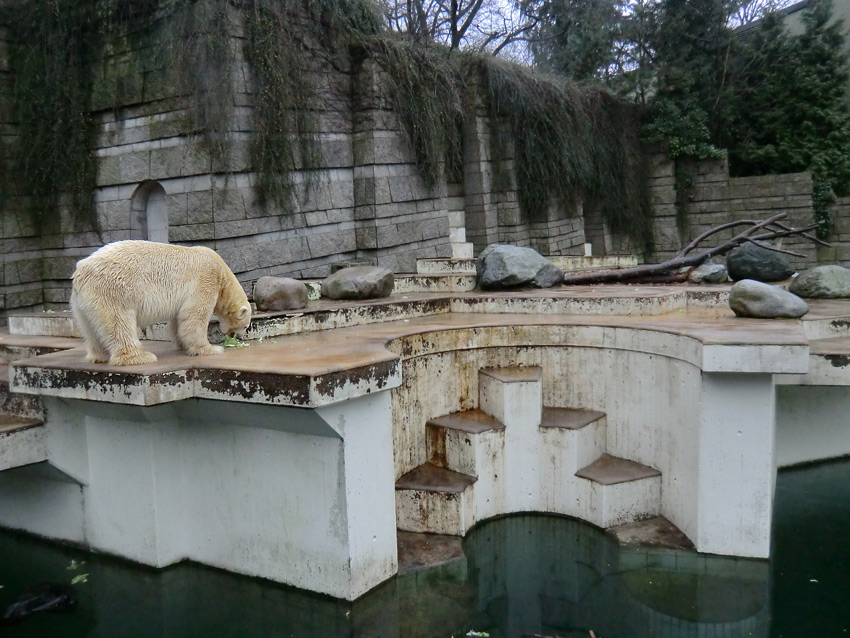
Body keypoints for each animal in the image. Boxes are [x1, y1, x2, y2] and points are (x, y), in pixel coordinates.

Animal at [71, 242, 250, 368]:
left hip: (82, 304)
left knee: (91, 329)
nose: (241, 337)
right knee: (120, 324)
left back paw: (98, 356)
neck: (223, 273)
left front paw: (182, 345)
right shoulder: (206, 279)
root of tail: (80, 272)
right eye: (246, 326)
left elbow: (178, 320)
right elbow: (195, 316)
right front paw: (212, 349)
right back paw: (140, 357)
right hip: (113, 291)